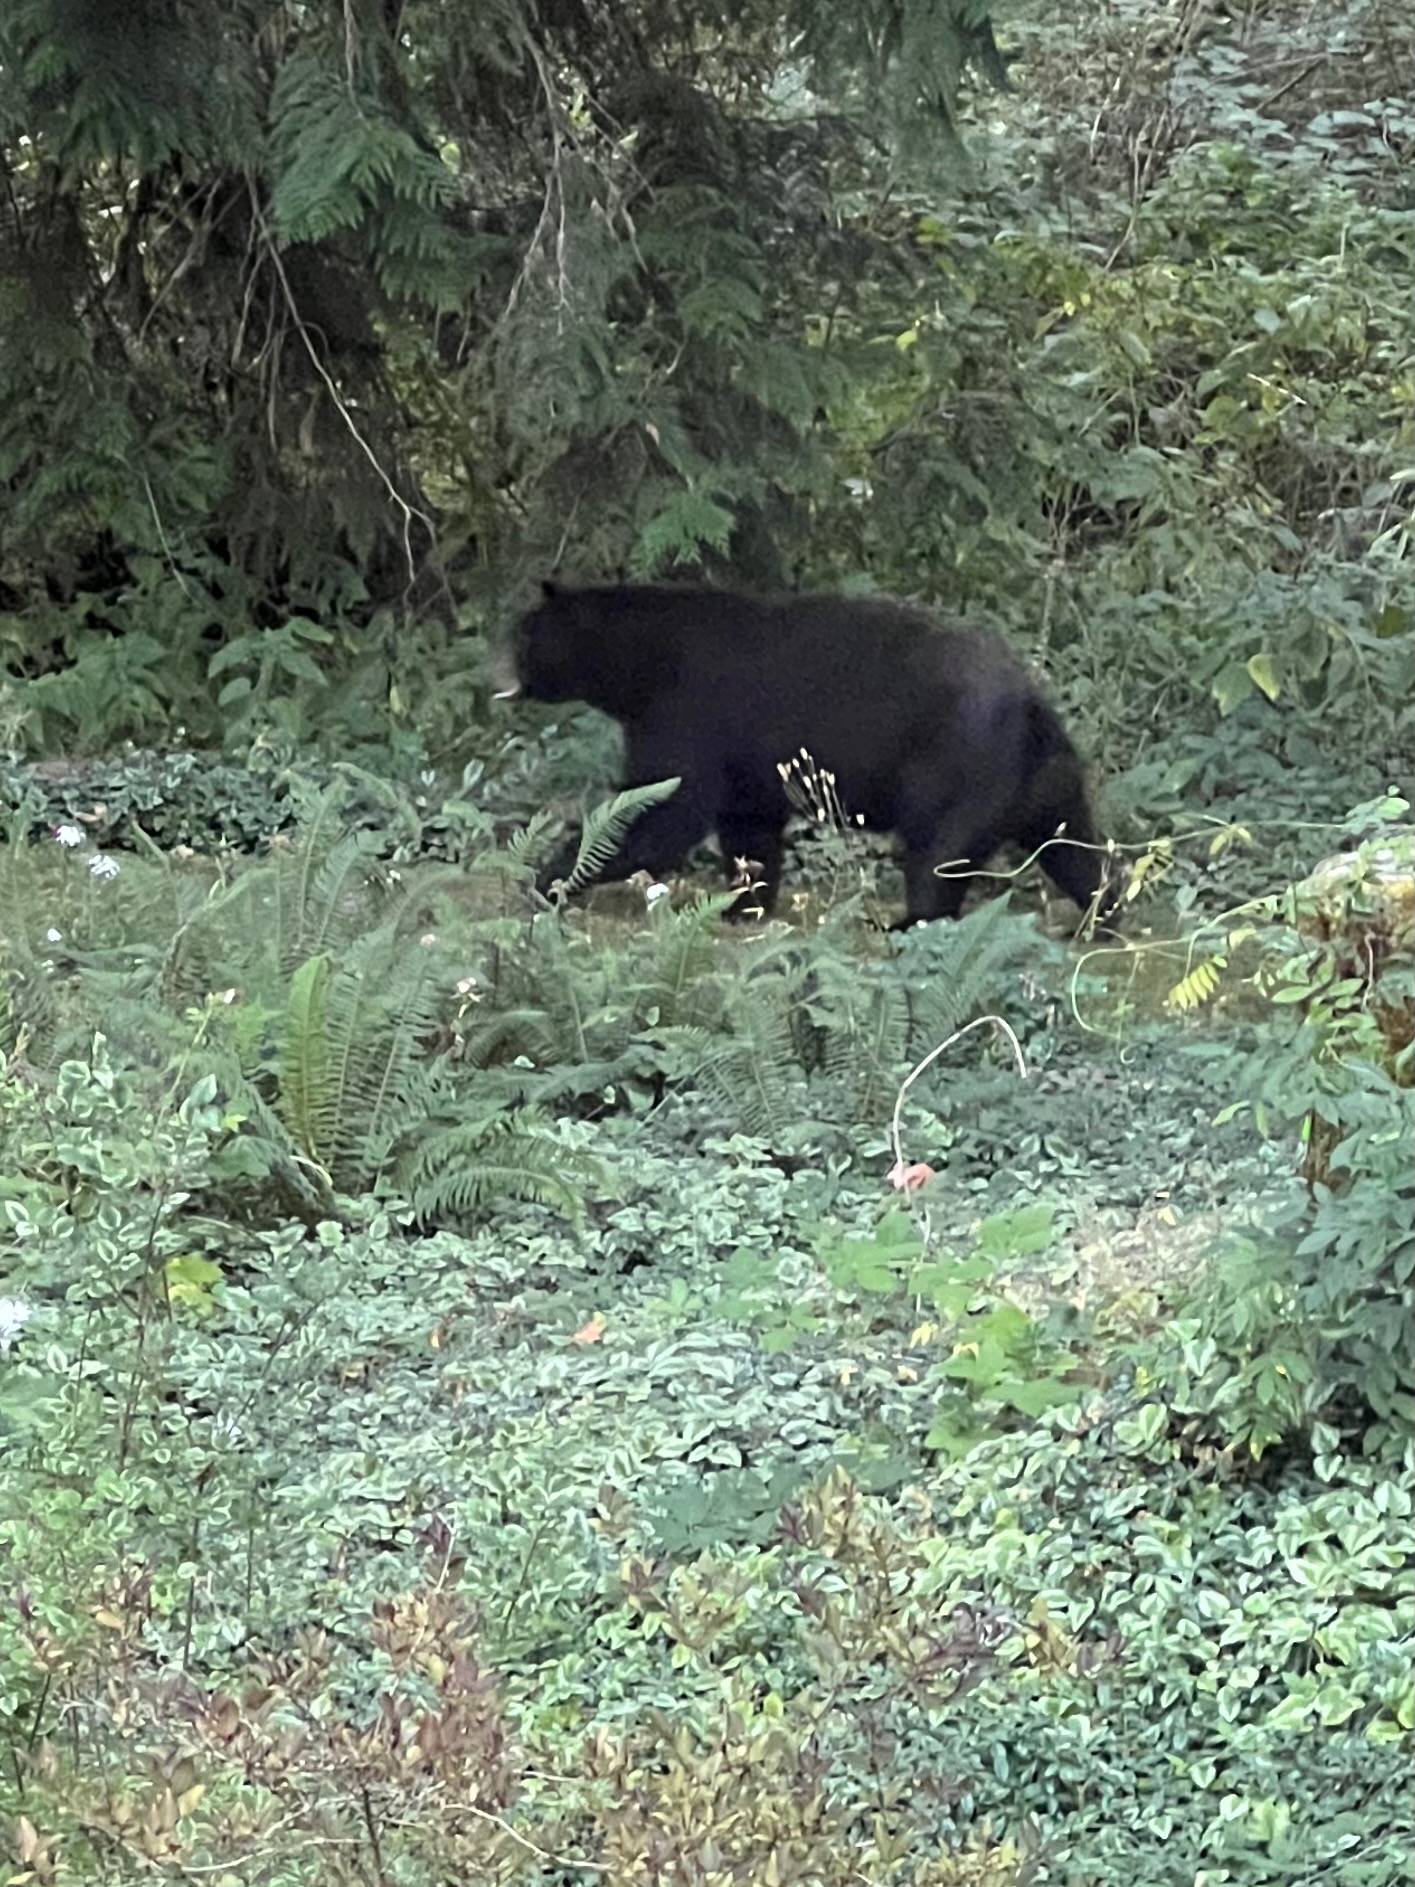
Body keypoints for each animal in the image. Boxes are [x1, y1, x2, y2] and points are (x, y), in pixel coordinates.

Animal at [505, 573, 1124, 928]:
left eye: (524, 635)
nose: (503, 667)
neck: (641, 665)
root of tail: (1030, 702)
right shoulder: (746, 760)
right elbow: (748, 827)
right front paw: (745, 905)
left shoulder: (690, 712)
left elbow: (661, 812)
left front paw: (550, 875)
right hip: (1045, 780)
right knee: (1072, 846)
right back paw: (1100, 912)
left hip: (960, 768)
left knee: (938, 854)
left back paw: (907, 923)